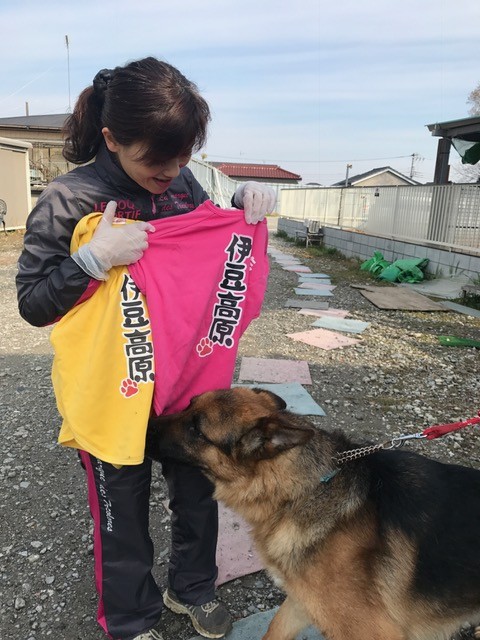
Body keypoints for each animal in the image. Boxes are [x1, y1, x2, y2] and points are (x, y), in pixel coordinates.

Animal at [146, 387, 480, 640]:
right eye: (188, 404)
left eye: (196, 429)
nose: (143, 425)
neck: (305, 489)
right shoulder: (302, 600)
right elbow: (274, 629)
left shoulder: (373, 632)